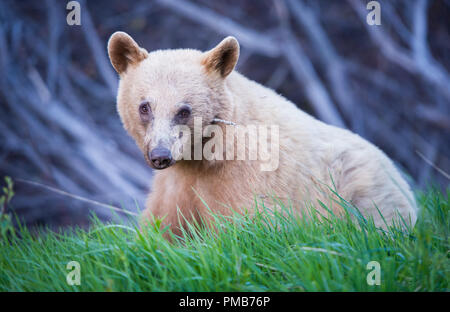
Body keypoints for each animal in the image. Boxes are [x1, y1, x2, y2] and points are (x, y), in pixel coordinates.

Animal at [107, 32, 416, 236]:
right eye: (145, 107)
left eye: (184, 110)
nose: (160, 155)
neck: (207, 153)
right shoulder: (176, 185)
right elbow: (163, 226)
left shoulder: (246, 178)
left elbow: (252, 225)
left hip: (365, 194)